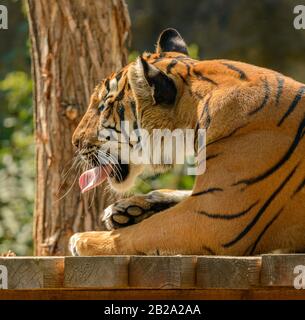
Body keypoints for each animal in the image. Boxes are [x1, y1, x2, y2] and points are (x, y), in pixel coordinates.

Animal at [69, 28, 304, 256]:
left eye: (102, 107)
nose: (75, 142)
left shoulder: (213, 218)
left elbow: (144, 231)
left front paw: (83, 239)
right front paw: (126, 209)